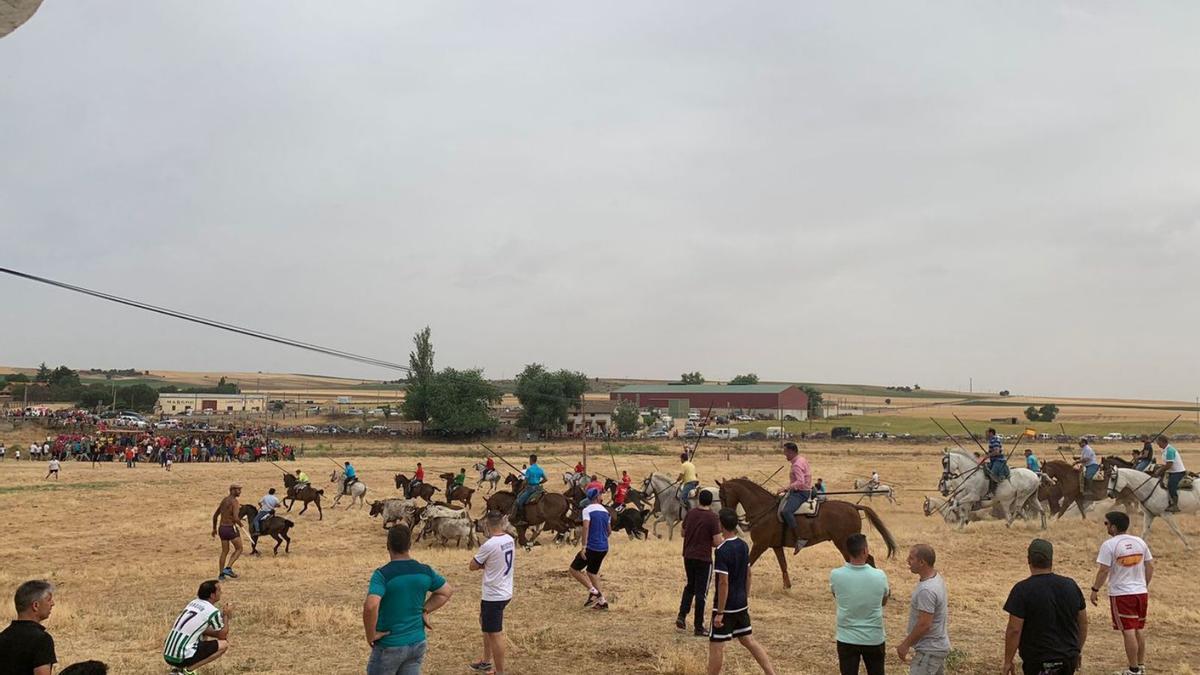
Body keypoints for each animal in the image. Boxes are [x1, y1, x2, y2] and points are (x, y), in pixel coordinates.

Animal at [715, 475, 897, 586]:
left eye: (722, 495)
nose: (724, 515)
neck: (764, 509)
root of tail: (853, 506)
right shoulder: (776, 546)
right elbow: (783, 565)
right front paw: (787, 587)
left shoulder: (760, 545)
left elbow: (749, 563)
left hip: (844, 543)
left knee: (865, 560)